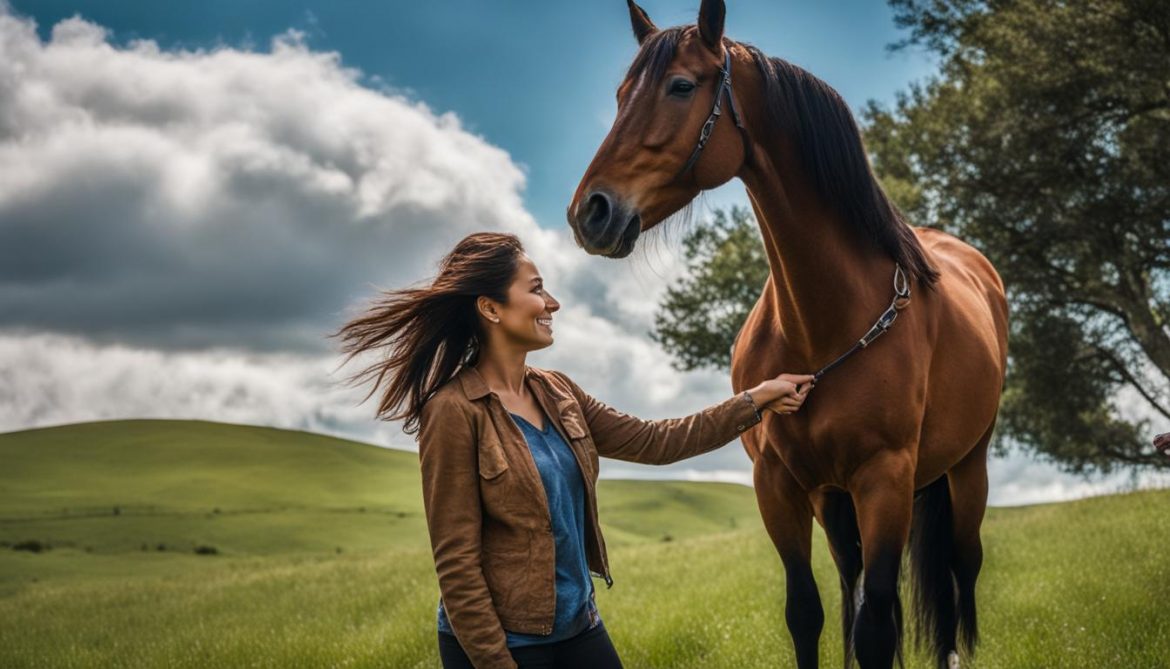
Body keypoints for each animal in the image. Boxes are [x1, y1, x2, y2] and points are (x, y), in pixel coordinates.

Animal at [566, 2, 1009, 668]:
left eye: (681, 86)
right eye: (621, 96)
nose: (590, 212)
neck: (821, 325)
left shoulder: (885, 480)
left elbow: (877, 626)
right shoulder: (777, 484)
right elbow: (809, 612)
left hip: (965, 470)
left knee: (959, 571)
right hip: (834, 497)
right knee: (853, 578)